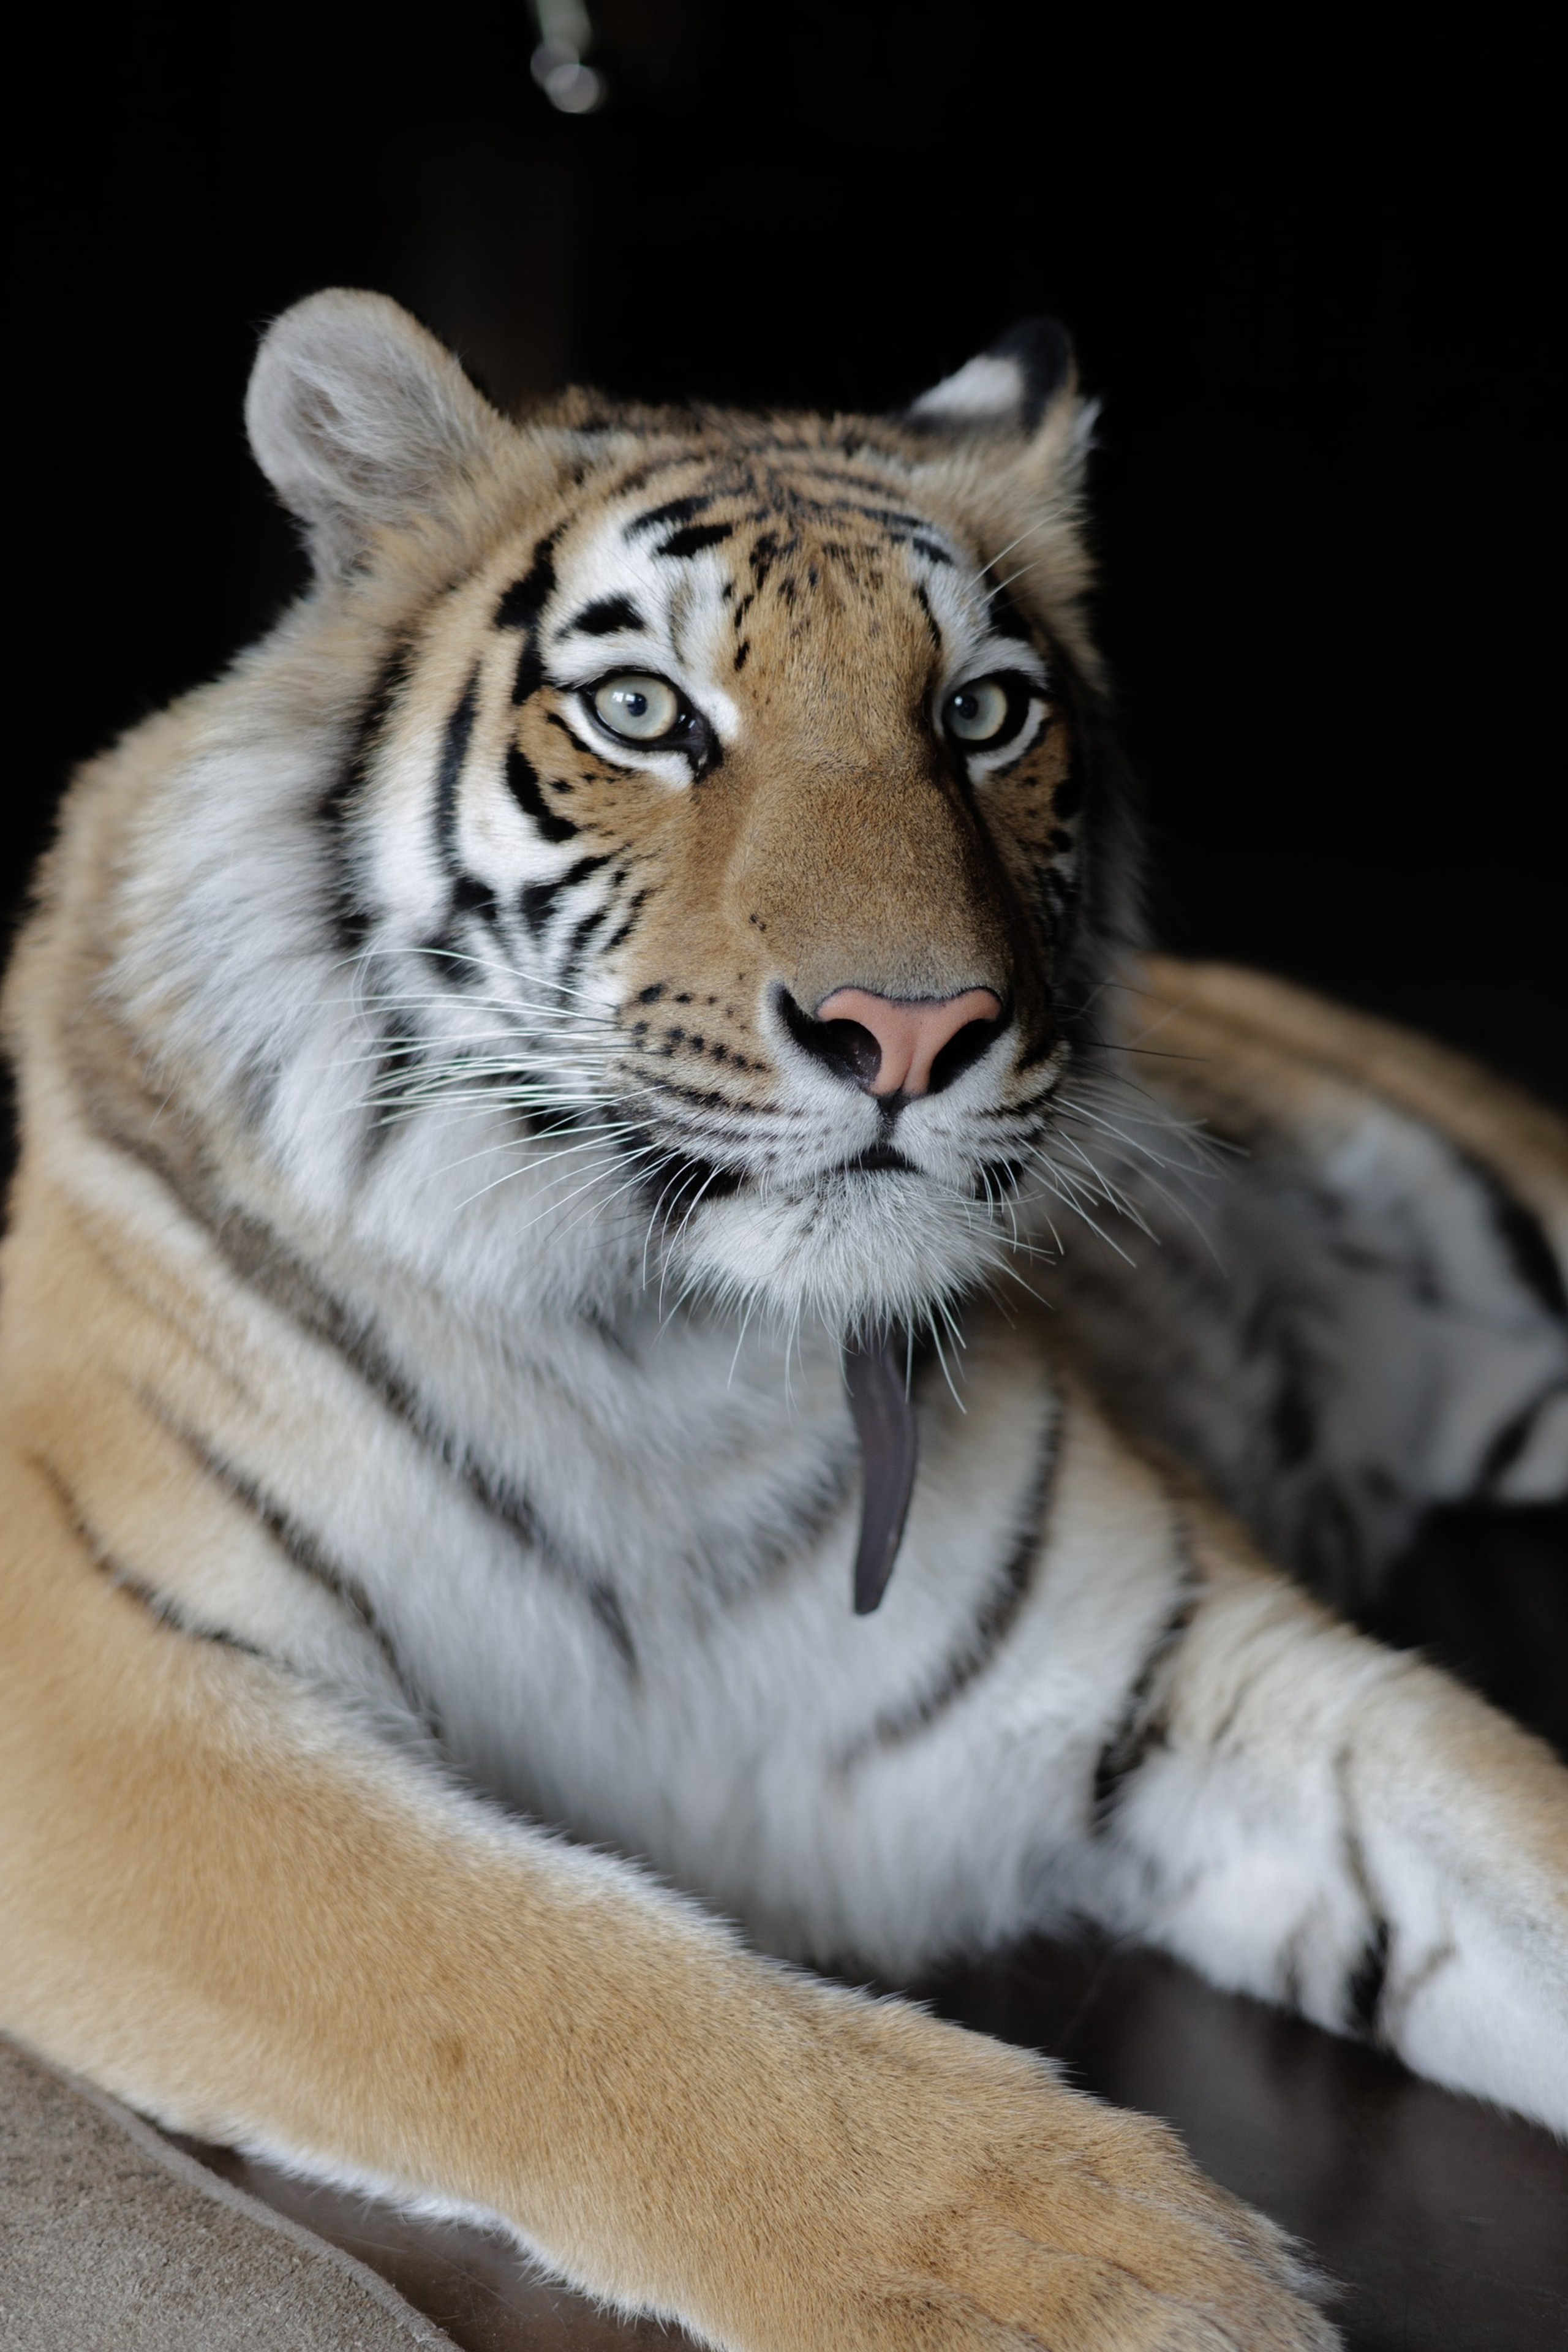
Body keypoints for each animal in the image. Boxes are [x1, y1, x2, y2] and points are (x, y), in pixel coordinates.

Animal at [1, 288, 1564, 2352]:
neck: (669, 1344)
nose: (911, 1026)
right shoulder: (109, 1700)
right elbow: (552, 1973)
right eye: (643, 713)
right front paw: (1101, 2268)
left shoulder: (1203, 1666)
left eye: (979, 712)